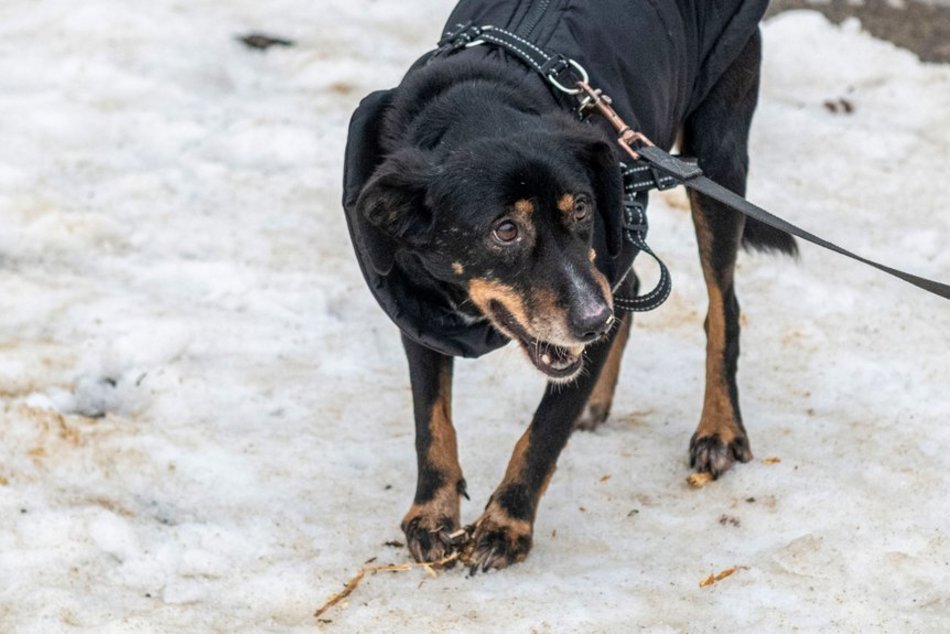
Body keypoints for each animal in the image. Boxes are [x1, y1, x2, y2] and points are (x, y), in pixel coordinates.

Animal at [342, 0, 796, 572]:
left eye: (580, 207)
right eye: (505, 230)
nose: (591, 321)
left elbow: (542, 433)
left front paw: (506, 525)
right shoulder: (418, 313)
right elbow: (431, 420)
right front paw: (432, 512)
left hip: (714, 161)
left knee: (721, 308)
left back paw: (718, 427)